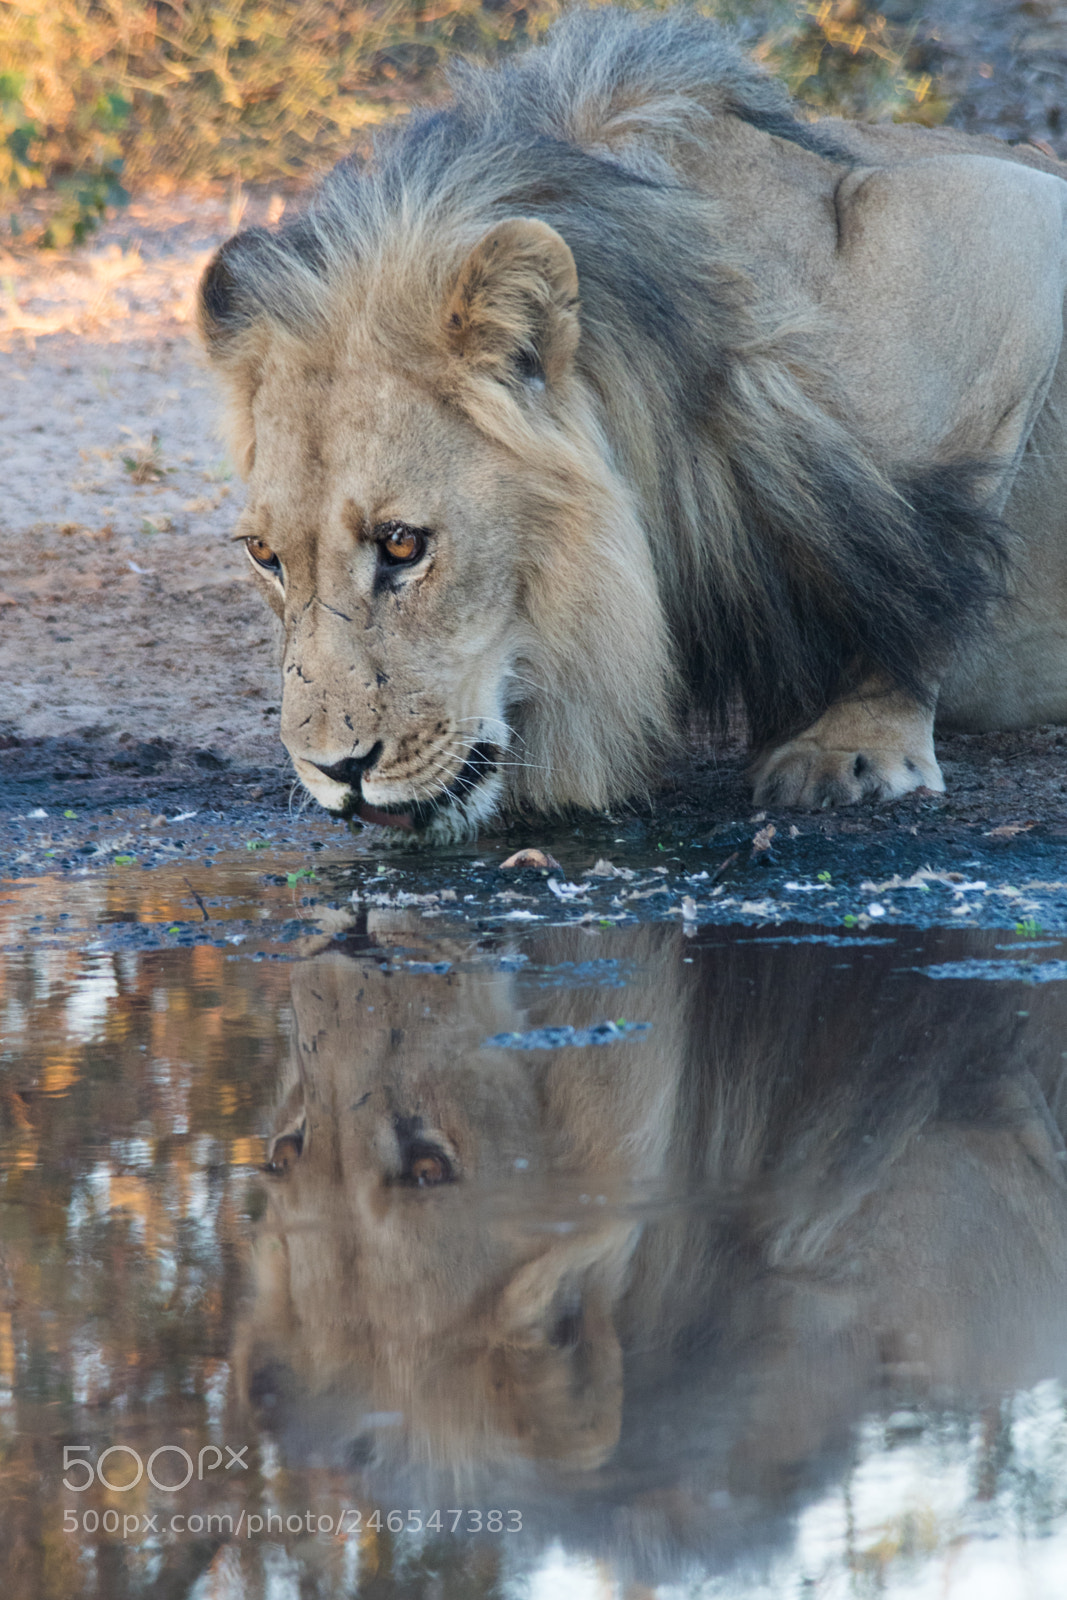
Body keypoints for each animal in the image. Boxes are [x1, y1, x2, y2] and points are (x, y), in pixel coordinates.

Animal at [198, 7, 1067, 842]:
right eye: (266, 557)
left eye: (402, 545)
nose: (334, 771)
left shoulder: (1010, 217)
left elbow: (927, 571)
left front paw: (852, 746)